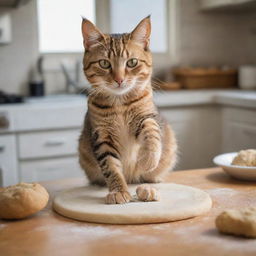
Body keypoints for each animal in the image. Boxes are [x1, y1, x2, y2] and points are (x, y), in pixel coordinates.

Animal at [79, 16, 177, 204]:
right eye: (104, 63)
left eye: (132, 62)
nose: (119, 79)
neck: (120, 105)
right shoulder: (102, 135)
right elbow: (111, 166)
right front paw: (119, 191)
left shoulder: (146, 117)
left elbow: (152, 132)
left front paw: (148, 159)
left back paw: (149, 187)